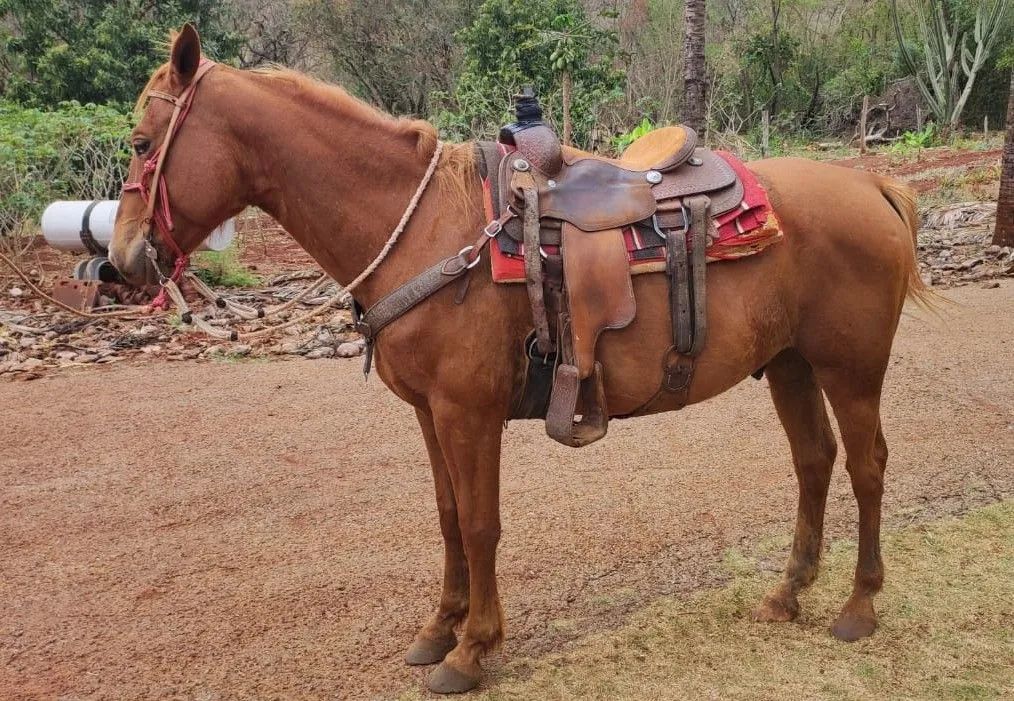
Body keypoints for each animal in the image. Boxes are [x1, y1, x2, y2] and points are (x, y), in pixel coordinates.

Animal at [109, 25, 931, 694]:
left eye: (144, 144)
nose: (120, 260)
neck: (421, 228)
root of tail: (870, 183)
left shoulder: (469, 412)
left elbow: (480, 524)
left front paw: (472, 650)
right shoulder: (430, 414)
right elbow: (447, 517)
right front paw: (438, 628)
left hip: (851, 368)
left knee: (868, 465)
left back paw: (859, 605)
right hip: (791, 363)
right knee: (814, 461)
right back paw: (788, 594)